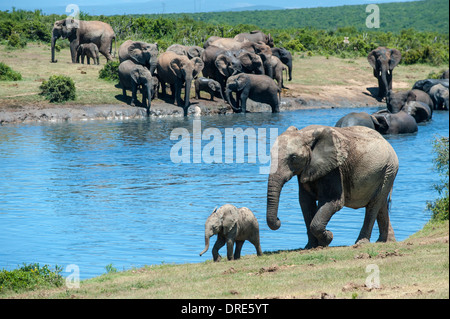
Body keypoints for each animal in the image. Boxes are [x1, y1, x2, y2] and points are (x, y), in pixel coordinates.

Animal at [266, 125, 400, 250]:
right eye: (270, 155)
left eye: (293, 158)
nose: (278, 219)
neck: (305, 133)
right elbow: (305, 203)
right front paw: (311, 246)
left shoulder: (334, 169)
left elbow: (333, 201)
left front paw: (328, 238)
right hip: (386, 171)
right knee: (381, 205)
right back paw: (386, 242)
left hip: (389, 169)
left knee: (374, 205)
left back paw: (361, 243)